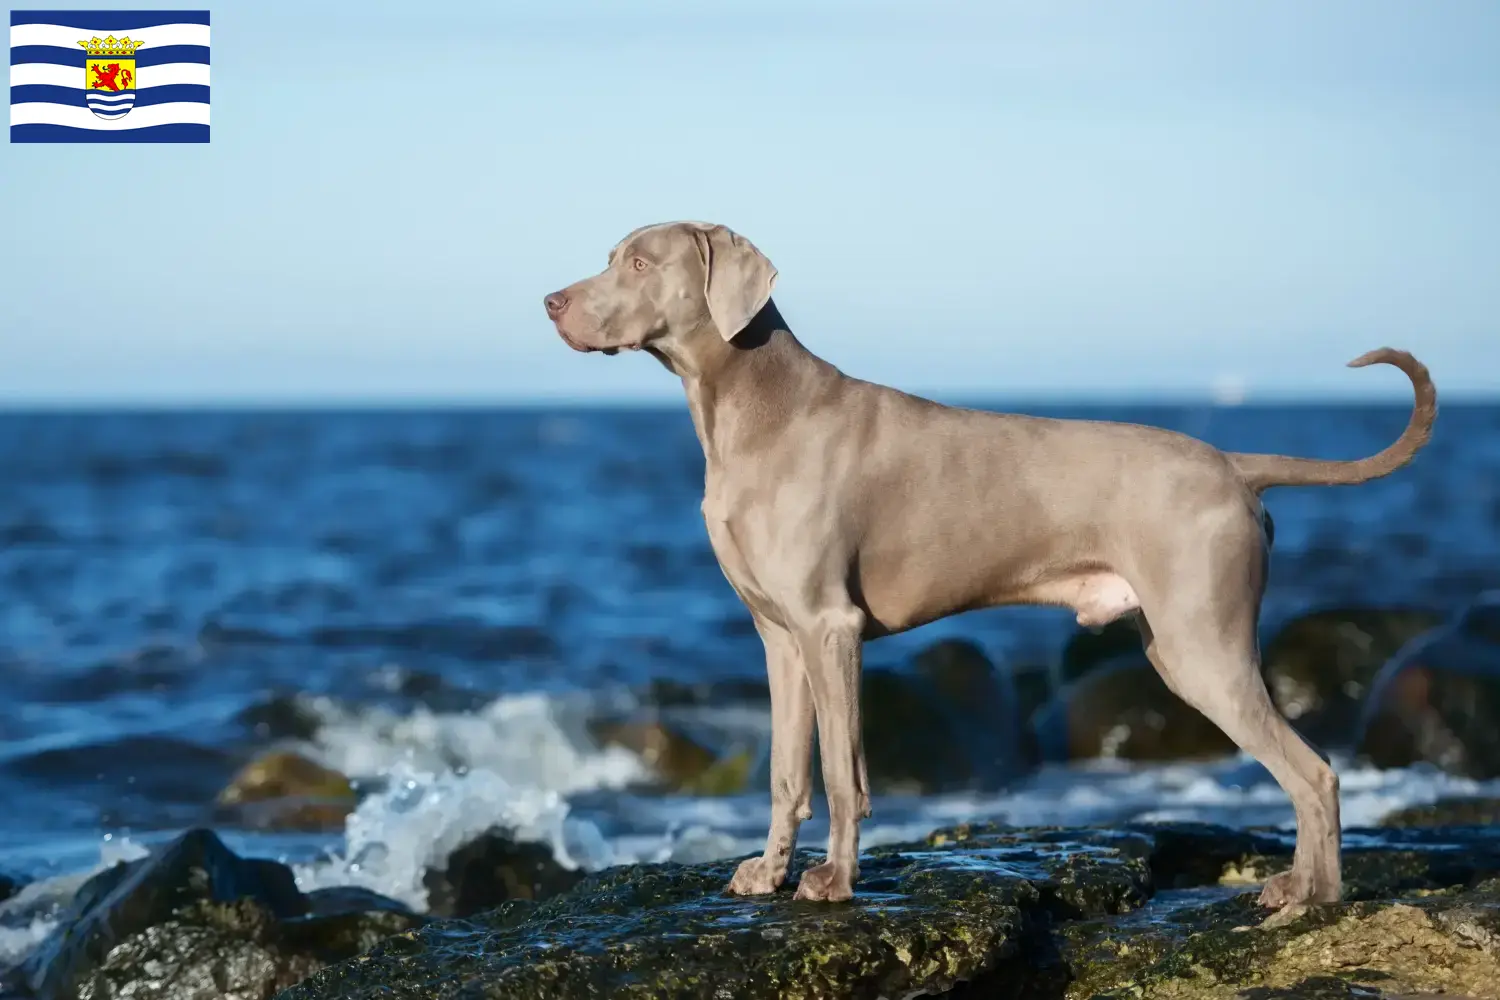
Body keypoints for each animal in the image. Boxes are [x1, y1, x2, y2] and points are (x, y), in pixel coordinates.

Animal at [546, 223, 1434, 911]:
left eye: (638, 262)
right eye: (612, 255)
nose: (552, 302)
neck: (749, 409)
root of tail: (1232, 464)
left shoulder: (830, 628)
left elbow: (840, 769)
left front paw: (834, 881)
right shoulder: (779, 637)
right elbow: (785, 772)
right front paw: (768, 873)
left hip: (1201, 646)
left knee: (1314, 772)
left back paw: (1311, 897)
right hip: (1179, 642)